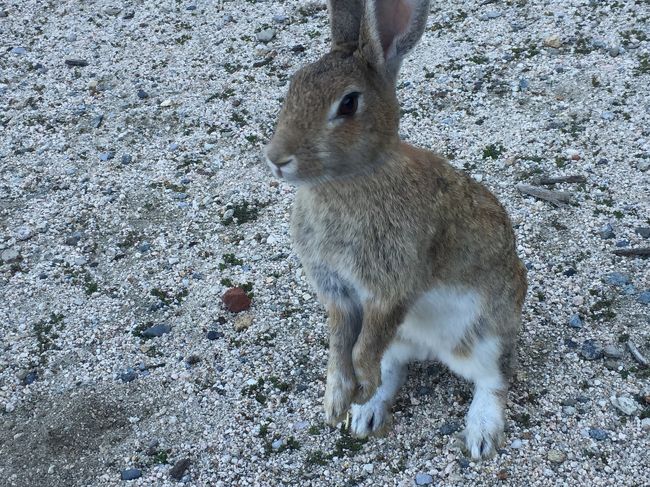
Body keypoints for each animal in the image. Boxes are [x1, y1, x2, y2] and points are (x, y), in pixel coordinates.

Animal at [264, 0, 528, 462]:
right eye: (293, 85)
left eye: (348, 104)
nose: (276, 159)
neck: (347, 181)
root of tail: (433, 350)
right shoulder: (338, 291)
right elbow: (341, 343)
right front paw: (337, 401)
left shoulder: (391, 288)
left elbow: (363, 345)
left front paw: (355, 390)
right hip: (407, 340)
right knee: (393, 369)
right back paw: (364, 414)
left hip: (489, 332)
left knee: (494, 379)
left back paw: (480, 436)